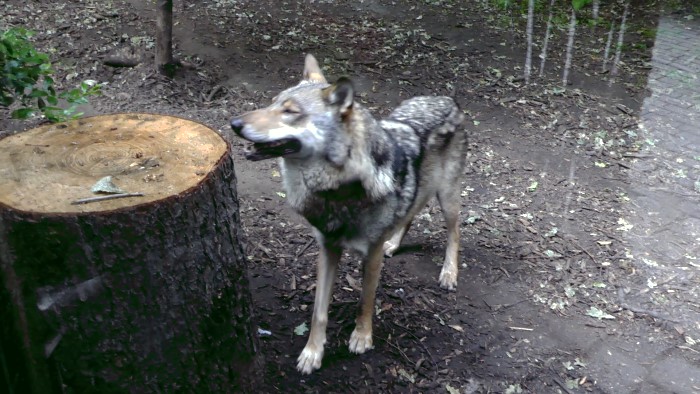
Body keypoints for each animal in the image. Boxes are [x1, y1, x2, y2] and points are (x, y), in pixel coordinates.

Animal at [232, 53, 468, 374]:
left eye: (290, 111)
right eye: (271, 104)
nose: (234, 123)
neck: (337, 190)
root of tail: (445, 98)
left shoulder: (372, 254)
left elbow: (365, 300)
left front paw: (361, 337)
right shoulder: (327, 248)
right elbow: (318, 311)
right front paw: (312, 353)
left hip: (447, 198)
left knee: (454, 232)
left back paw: (449, 272)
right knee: (408, 214)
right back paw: (395, 243)